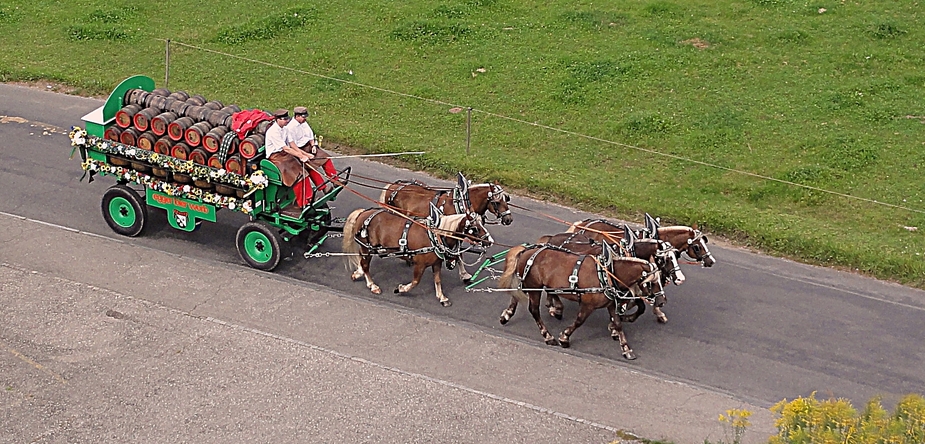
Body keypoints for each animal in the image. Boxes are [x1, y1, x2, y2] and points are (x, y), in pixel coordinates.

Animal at [342, 204, 494, 306]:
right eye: (475, 228)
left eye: (482, 223)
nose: (490, 241)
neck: (435, 236)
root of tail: (363, 213)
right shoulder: (420, 264)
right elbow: (415, 281)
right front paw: (401, 289)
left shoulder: (436, 263)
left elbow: (437, 280)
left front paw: (442, 297)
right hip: (366, 247)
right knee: (365, 265)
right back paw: (372, 285)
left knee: (362, 263)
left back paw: (358, 273)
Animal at [502, 241, 660, 360]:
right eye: (652, 283)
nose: (659, 301)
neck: (607, 273)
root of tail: (526, 251)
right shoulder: (587, 305)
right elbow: (579, 321)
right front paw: (564, 338)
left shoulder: (610, 304)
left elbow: (618, 324)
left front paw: (626, 349)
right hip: (534, 287)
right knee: (534, 310)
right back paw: (548, 336)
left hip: (529, 285)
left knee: (517, 296)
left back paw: (506, 315)